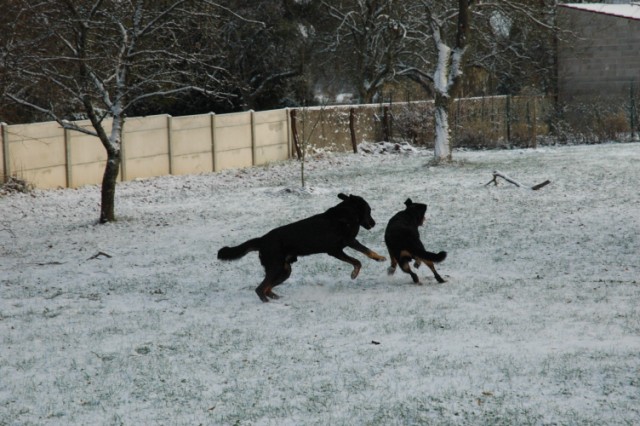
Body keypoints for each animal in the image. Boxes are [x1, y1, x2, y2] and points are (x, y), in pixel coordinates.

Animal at [218, 191, 384, 302]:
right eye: (369, 210)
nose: (374, 223)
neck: (345, 215)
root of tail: (262, 240)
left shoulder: (337, 250)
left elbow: (357, 261)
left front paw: (355, 272)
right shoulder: (345, 244)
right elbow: (364, 253)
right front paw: (378, 258)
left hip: (285, 270)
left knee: (267, 287)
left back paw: (276, 297)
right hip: (276, 267)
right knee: (260, 288)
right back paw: (267, 302)